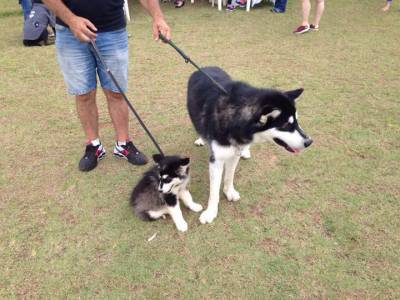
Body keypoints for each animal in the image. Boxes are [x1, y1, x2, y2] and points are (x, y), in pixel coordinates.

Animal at [187, 67, 312, 224]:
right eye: (286, 125)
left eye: (296, 122)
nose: (309, 142)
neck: (237, 119)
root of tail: (206, 67)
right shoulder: (217, 159)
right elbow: (214, 191)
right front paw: (210, 213)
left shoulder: (234, 153)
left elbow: (229, 176)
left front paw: (229, 192)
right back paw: (202, 138)